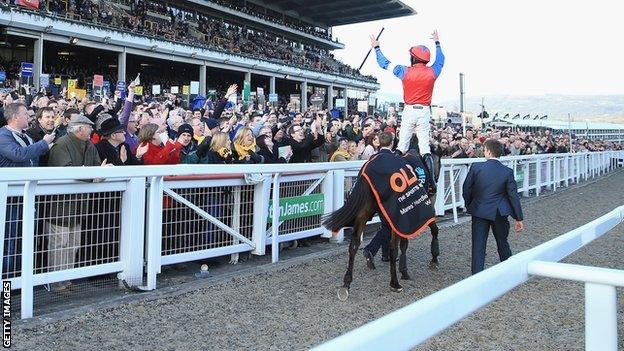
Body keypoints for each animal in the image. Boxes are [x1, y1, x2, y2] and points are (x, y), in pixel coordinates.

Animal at [324, 136, 442, 302]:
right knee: (392, 247)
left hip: (364, 212)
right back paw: (394, 283)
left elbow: (404, 243)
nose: (435, 182)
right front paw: (434, 258)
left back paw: (346, 284)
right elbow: (433, 230)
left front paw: (404, 270)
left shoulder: (402, 218)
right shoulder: (420, 209)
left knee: (354, 244)